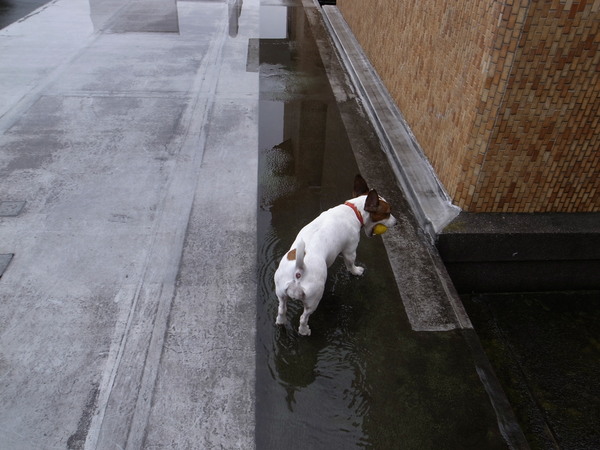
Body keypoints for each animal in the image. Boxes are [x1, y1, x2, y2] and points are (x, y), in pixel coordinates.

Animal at [274, 174, 397, 336]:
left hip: (281, 293)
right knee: (303, 317)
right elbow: (351, 264)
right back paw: (304, 330)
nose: (396, 222)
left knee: (282, 309)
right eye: (387, 213)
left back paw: (281, 321)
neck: (354, 210)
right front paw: (356, 271)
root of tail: (299, 270)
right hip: (313, 300)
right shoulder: (350, 250)